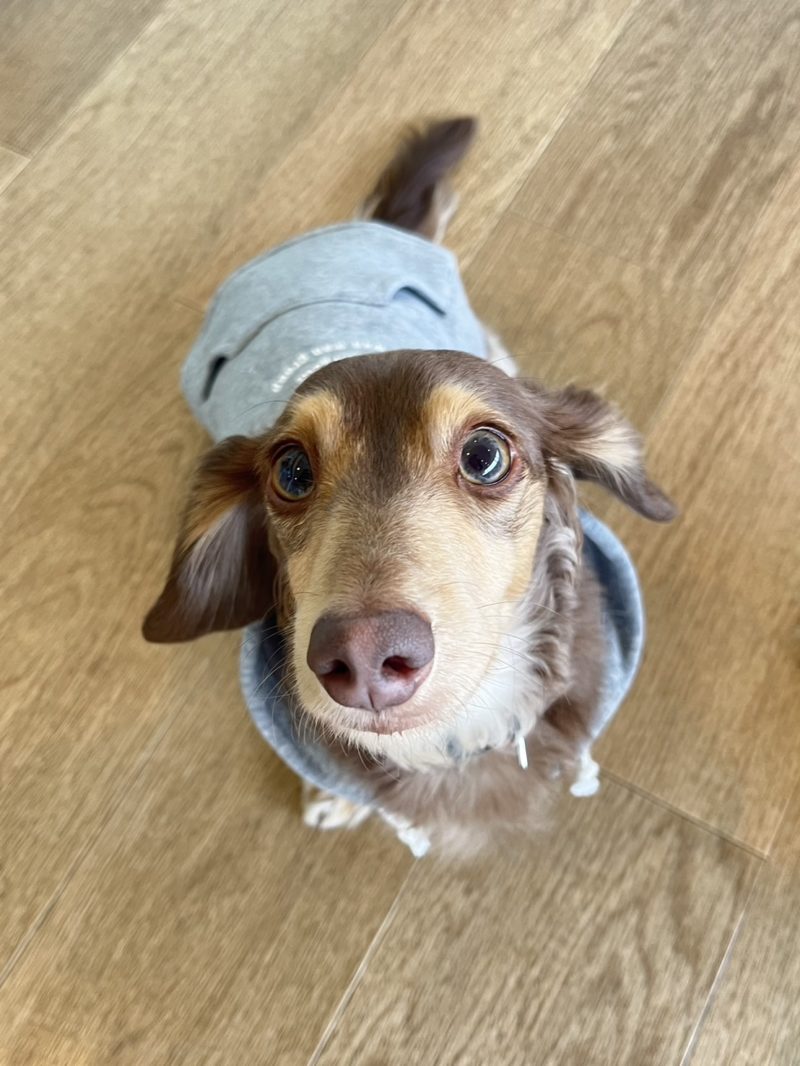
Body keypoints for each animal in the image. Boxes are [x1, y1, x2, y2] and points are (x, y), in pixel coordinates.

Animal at [144, 118, 675, 856]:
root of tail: (350, 233)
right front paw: (333, 798)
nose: (363, 658)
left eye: (484, 455)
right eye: (291, 471)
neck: (452, 736)